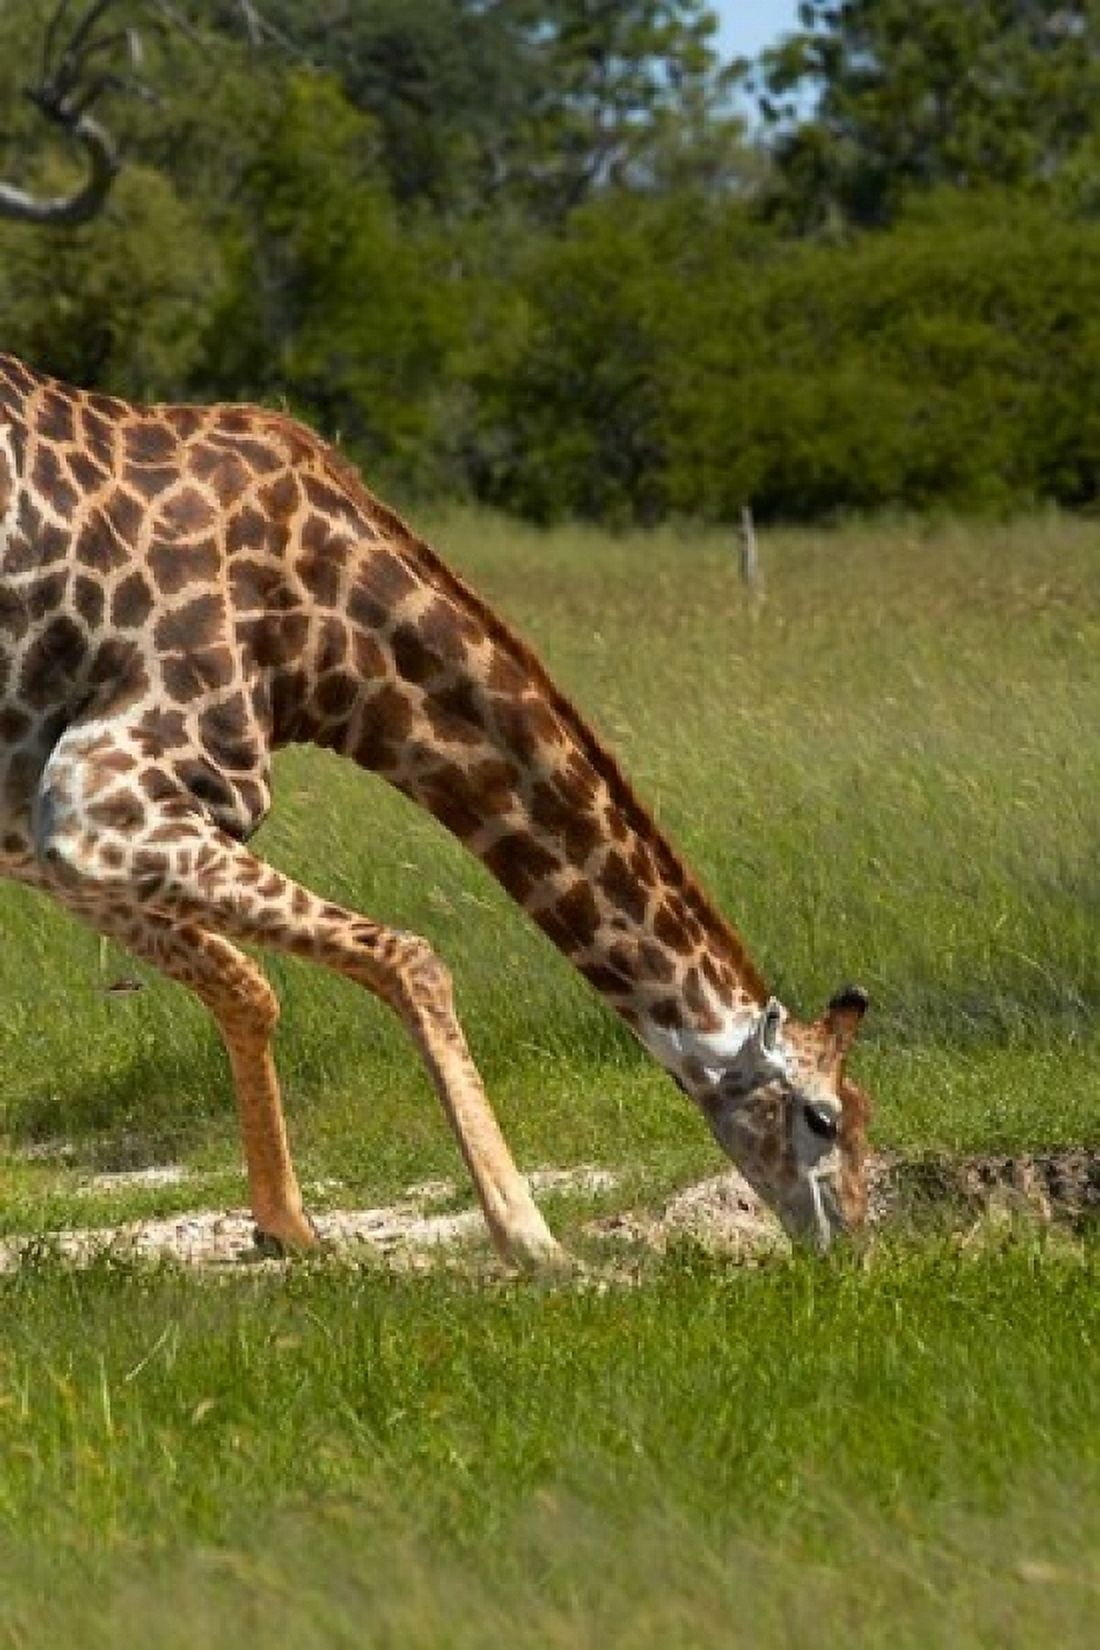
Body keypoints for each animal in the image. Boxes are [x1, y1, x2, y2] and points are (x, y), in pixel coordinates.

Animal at [0, 351, 872, 1267]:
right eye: (824, 1118)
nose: (854, 1246)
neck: (328, 644)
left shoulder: (39, 835)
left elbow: (248, 985)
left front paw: (287, 1227)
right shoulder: (98, 798)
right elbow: (410, 956)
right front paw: (532, 1240)